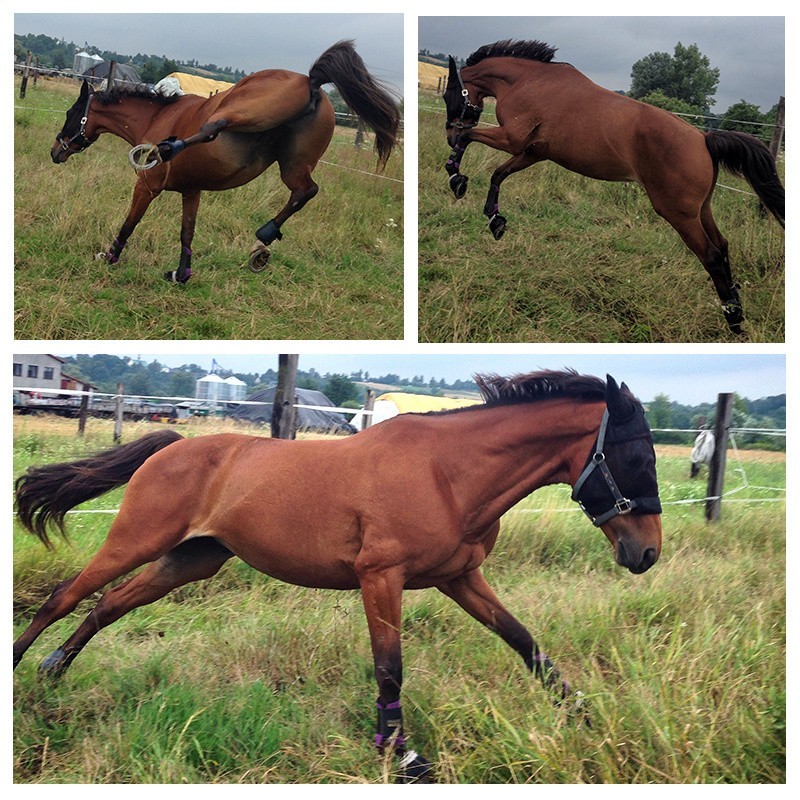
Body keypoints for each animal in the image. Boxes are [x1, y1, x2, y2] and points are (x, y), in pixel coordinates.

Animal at [14, 372, 664, 784]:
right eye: (636, 457)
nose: (647, 554)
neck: (449, 474)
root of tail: (170, 447)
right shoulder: (381, 577)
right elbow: (389, 668)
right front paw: (404, 759)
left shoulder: (460, 578)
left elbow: (525, 643)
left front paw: (586, 716)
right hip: (137, 540)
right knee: (64, 597)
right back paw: (29, 669)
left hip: (188, 560)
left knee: (108, 604)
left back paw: (54, 669)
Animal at [50, 41, 400, 284]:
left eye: (70, 113)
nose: (56, 152)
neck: (158, 116)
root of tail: (311, 81)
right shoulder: (191, 192)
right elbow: (187, 233)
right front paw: (181, 274)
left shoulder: (147, 187)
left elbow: (130, 223)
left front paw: (110, 256)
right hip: (293, 164)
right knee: (305, 190)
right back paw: (264, 239)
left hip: (245, 109)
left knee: (215, 126)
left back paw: (168, 148)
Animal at [444, 39, 788, 334]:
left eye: (449, 95)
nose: (447, 132)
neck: (529, 81)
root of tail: (705, 138)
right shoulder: (531, 152)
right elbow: (497, 174)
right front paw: (494, 219)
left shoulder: (511, 139)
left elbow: (469, 138)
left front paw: (454, 176)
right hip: (700, 210)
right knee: (723, 246)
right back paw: (735, 309)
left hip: (678, 214)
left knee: (712, 255)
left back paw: (733, 319)